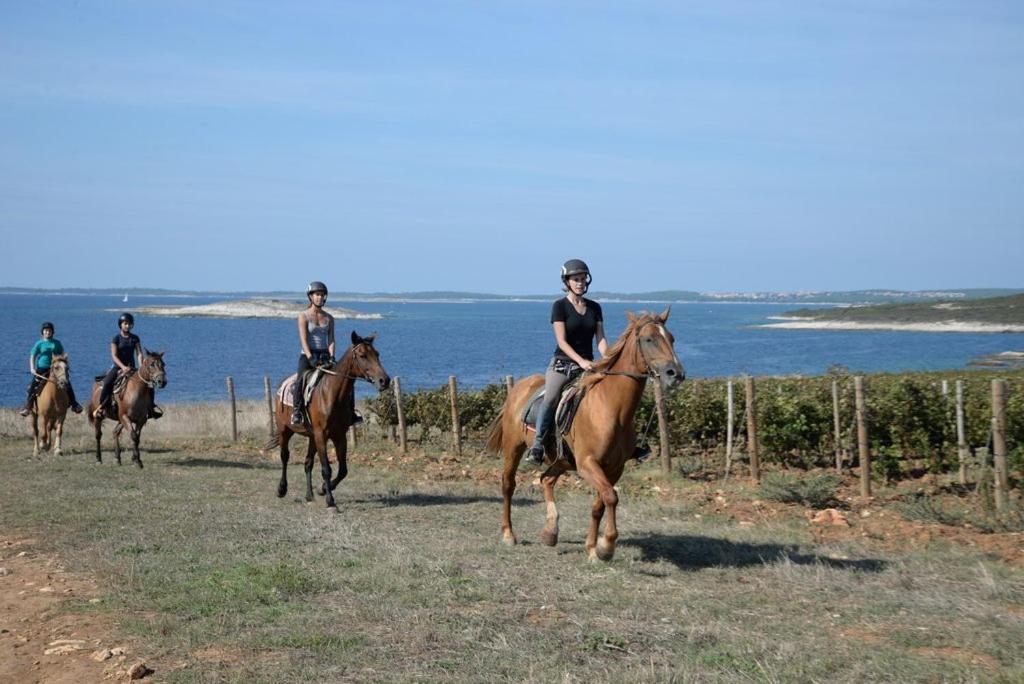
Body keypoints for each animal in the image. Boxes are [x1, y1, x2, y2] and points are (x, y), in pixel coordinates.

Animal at [272, 331, 391, 507]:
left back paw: (309, 495)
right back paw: (281, 489)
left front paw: (322, 489)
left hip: (311, 436)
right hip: (284, 430)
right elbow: (326, 469)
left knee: (308, 463)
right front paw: (330, 499)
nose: (385, 380)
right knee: (285, 456)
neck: (331, 394)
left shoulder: (339, 435)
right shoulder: (322, 435)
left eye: (377, 354)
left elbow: (343, 470)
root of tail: (282, 384)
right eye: (362, 355)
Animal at [487, 309, 688, 561]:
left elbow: (600, 504)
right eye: (649, 339)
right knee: (508, 484)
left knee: (546, 479)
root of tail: (519, 387)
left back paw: (550, 531)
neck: (611, 408)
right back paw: (508, 534)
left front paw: (593, 548)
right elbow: (611, 497)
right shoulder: (588, 464)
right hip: (514, 448)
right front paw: (606, 546)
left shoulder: (614, 468)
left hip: (562, 459)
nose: (676, 374)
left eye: (671, 339)